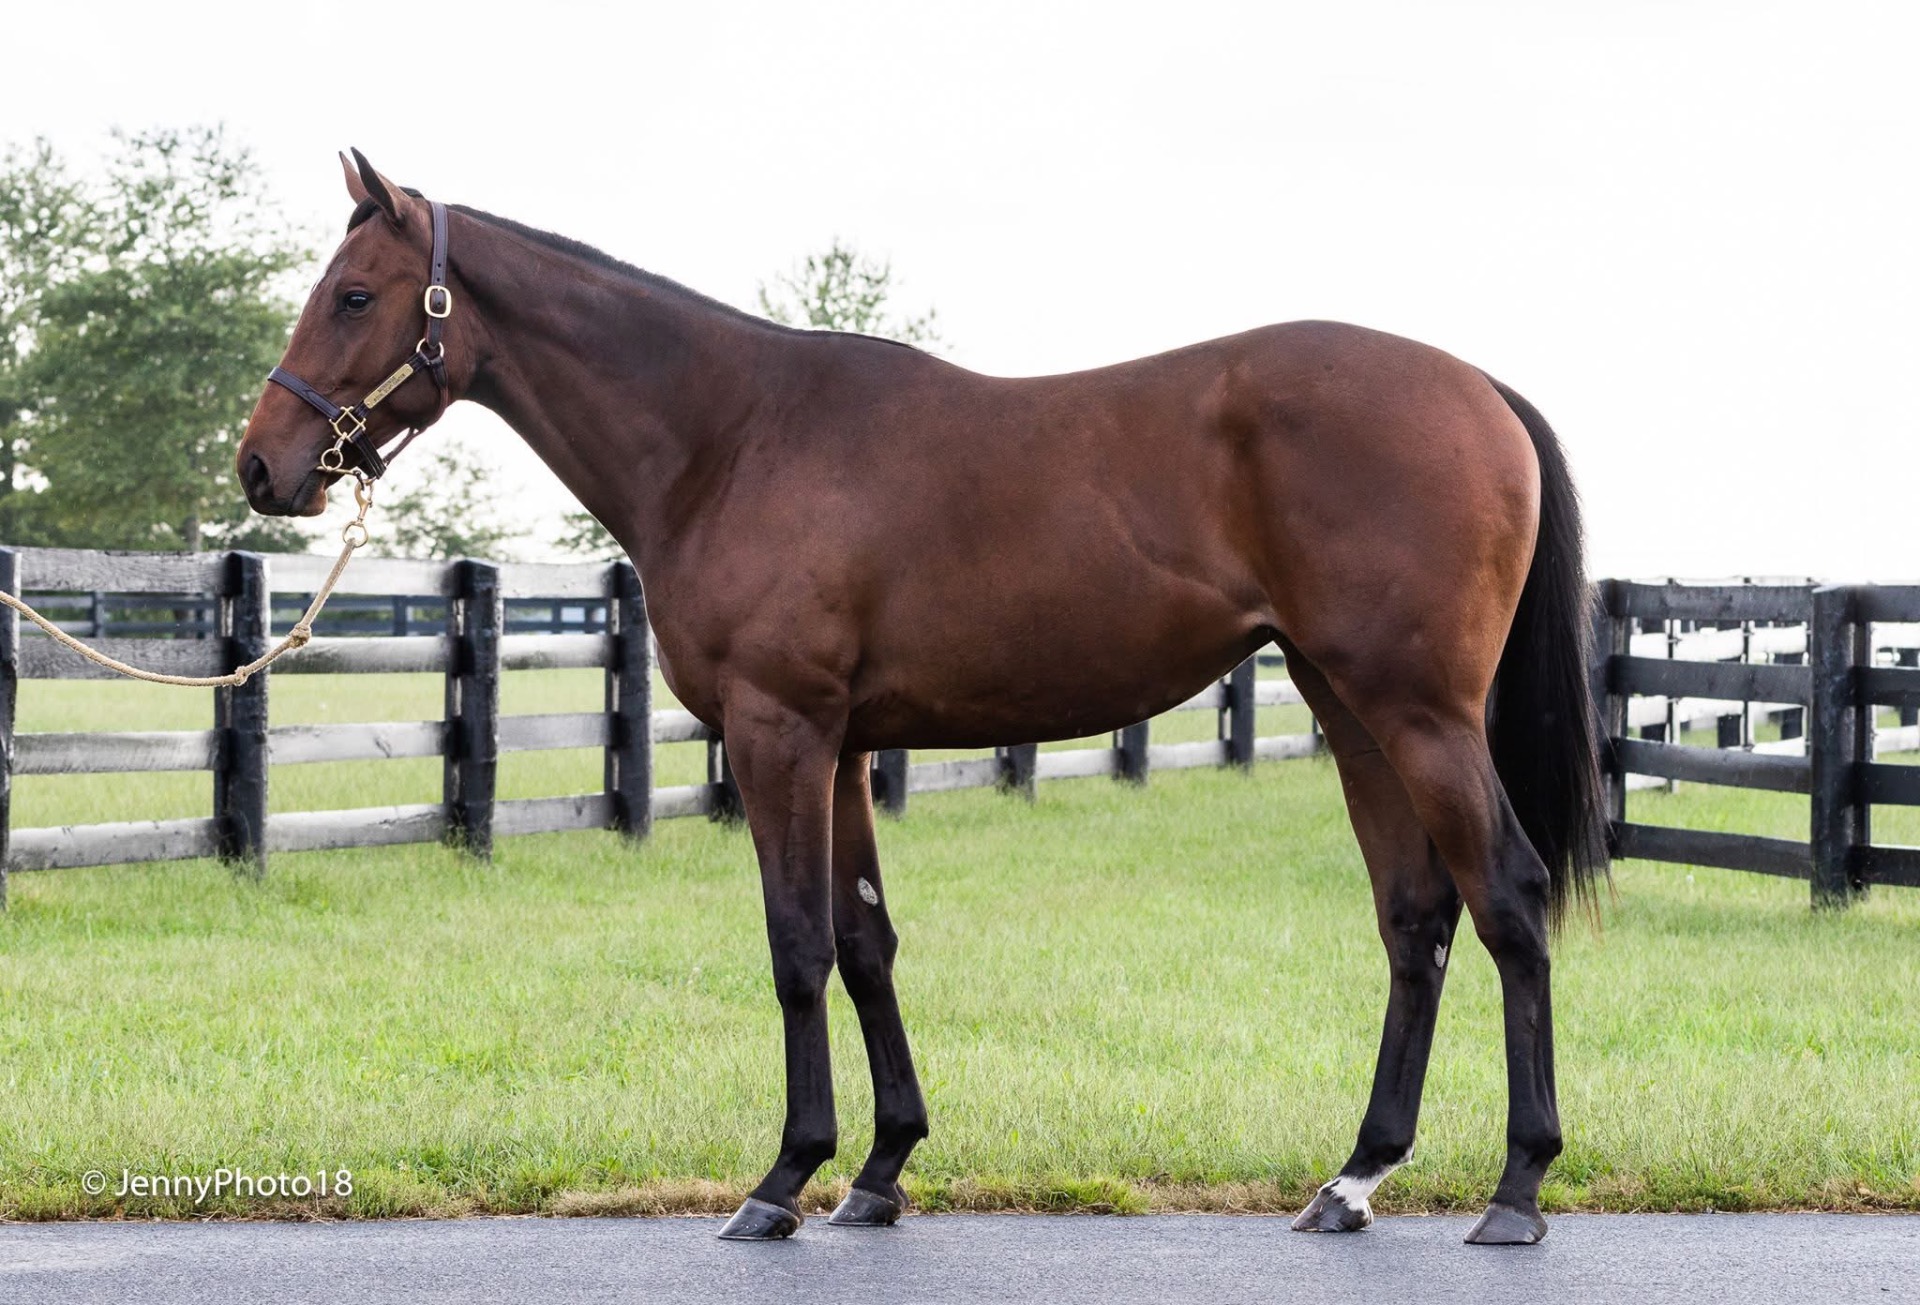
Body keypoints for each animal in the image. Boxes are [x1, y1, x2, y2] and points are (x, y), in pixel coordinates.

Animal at [237, 151, 1608, 1246]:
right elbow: (865, 942)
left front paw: (782, 1180)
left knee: (1508, 898)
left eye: (354, 294)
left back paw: (1517, 1190)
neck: (730, 436)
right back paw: (1354, 1179)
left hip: (1420, 711)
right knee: (1416, 919)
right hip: (1349, 705)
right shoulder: (844, 746)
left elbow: (796, 945)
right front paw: (882, 1169)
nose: (264, 467)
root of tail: (1480, 391)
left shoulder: (780, 731)